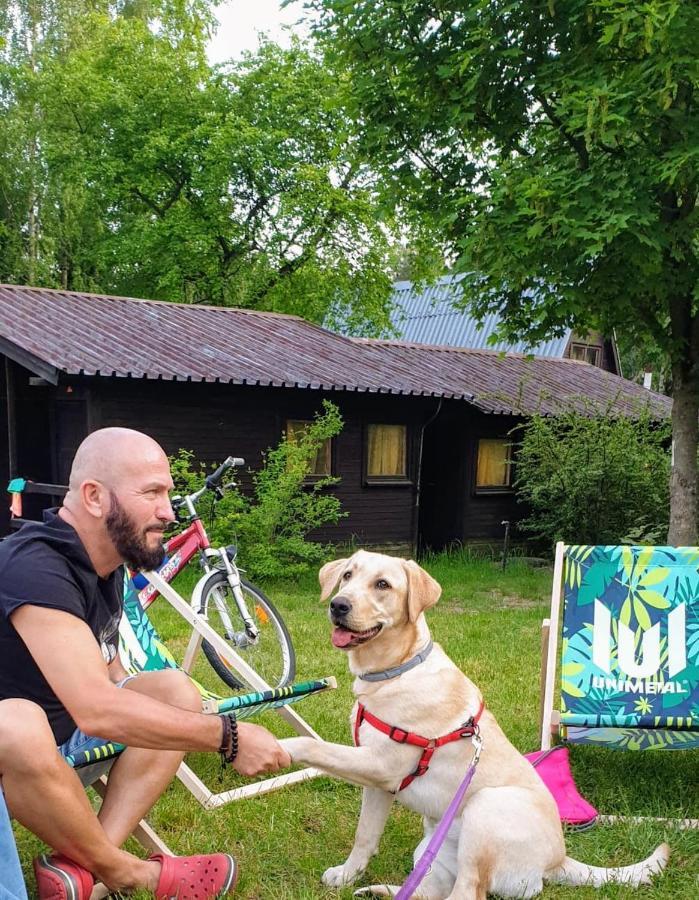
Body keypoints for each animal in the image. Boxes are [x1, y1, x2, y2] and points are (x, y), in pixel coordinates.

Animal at [280, 552, 672, 900]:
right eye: (347, 575)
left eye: (382, 585)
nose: (338, 605)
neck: (396, 670)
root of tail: (557, 861)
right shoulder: (378, 784)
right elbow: (365, 836)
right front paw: (348, 874)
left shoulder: (381, 765)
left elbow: (312, 746)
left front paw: (280, 748)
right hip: (432, 846)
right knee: (433, 891)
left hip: (485, 809)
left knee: (468, 892)